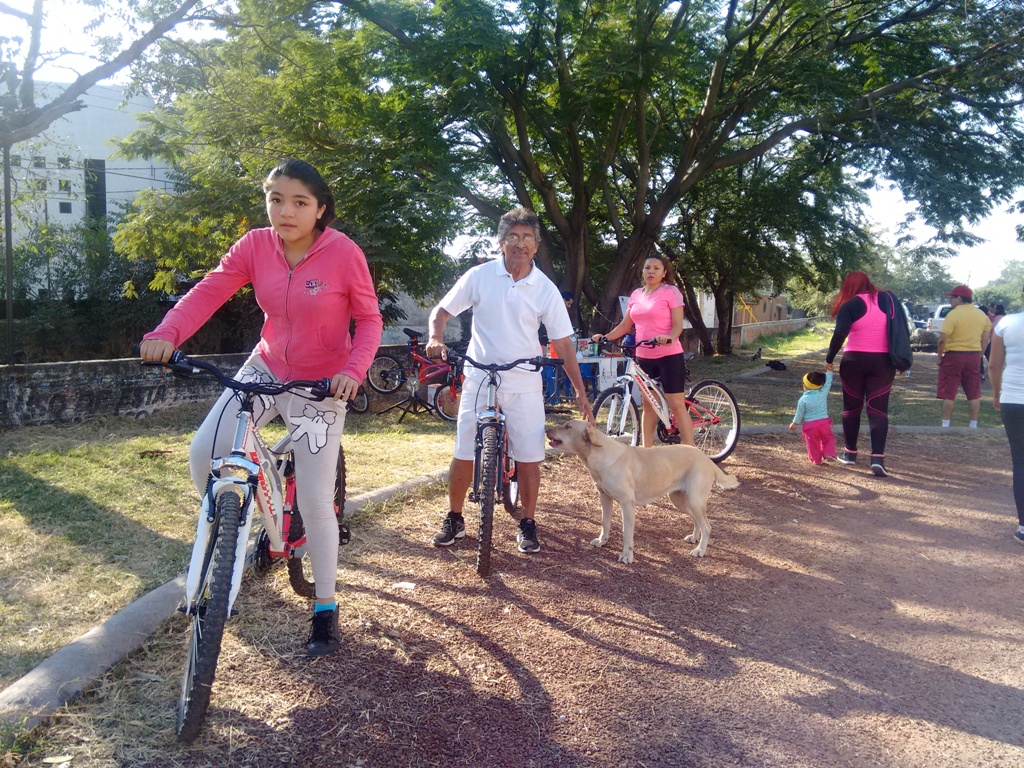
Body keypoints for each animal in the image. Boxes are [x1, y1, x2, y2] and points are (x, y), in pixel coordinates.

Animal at [548, 421, 741, 565]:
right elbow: (605, 523)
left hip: (695, 500)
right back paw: (694, 538)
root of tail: (707, 459)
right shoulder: (605, 498)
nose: (546, 429)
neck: (598, 454)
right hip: (680, 500)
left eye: (567, 426)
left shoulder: (627, 504)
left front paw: (627, 556)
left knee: (707, 526)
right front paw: (602, 541)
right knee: (697, 521)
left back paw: (700, 550)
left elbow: (626, 533)